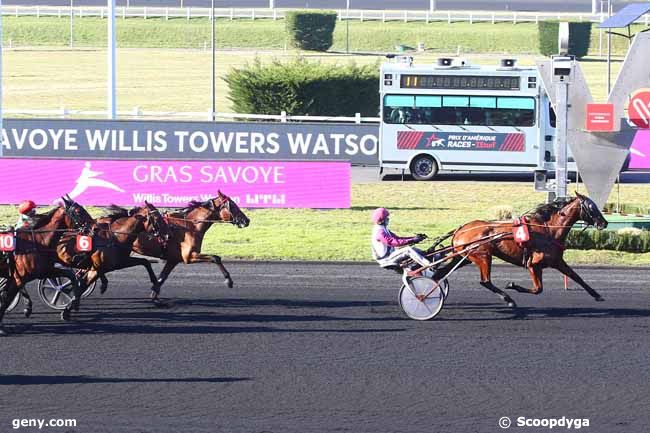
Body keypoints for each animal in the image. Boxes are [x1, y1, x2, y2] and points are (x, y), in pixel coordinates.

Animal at [436, 192, 608, 308]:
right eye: (591, 206)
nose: (604, 223)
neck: (549, 230)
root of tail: (460, 229)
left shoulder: (557, 261)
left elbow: (576, 277)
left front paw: (597, 295)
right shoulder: (534, 264)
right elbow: (538, 289)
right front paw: (512, 285)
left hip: (463, 257)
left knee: (440, 274)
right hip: (482, 256)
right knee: (485, 281)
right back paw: (509, 300)